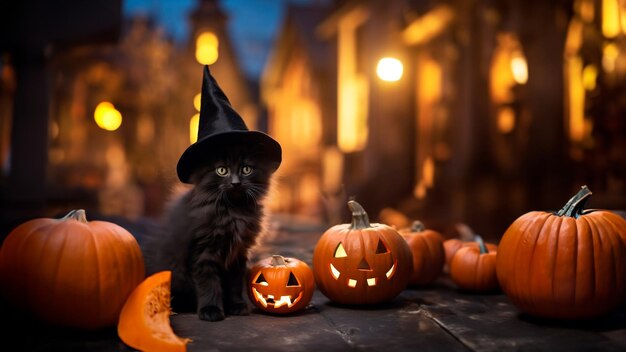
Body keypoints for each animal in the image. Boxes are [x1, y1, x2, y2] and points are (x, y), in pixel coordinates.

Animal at [145, 144, 276, 322]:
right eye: (222, 170)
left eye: (246, 169)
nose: (235, 183)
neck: (233, 211)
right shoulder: (203, 252)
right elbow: (209, 284)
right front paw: (211, 310)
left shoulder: (238, 253)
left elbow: (234, 284)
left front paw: (236, 305)